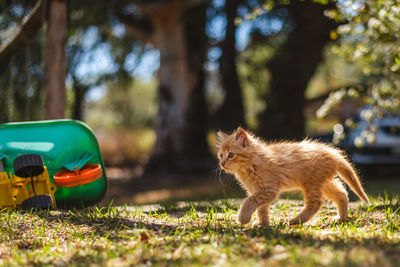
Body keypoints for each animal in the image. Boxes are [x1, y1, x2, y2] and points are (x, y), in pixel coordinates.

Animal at [217, 127, 370, 226]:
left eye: (231, 155)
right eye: (221, 155)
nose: (222, 163)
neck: (252, 164)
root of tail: (333, 153)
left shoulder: (269, 190)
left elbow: (249, 201)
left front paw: (243, 218)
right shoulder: (259, 191)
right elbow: (262, 208)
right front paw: (263, 223)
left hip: (312, 183)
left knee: (315, 203)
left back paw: (296, 220)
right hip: (324, 182)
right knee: (342, 194)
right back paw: (341, 218)